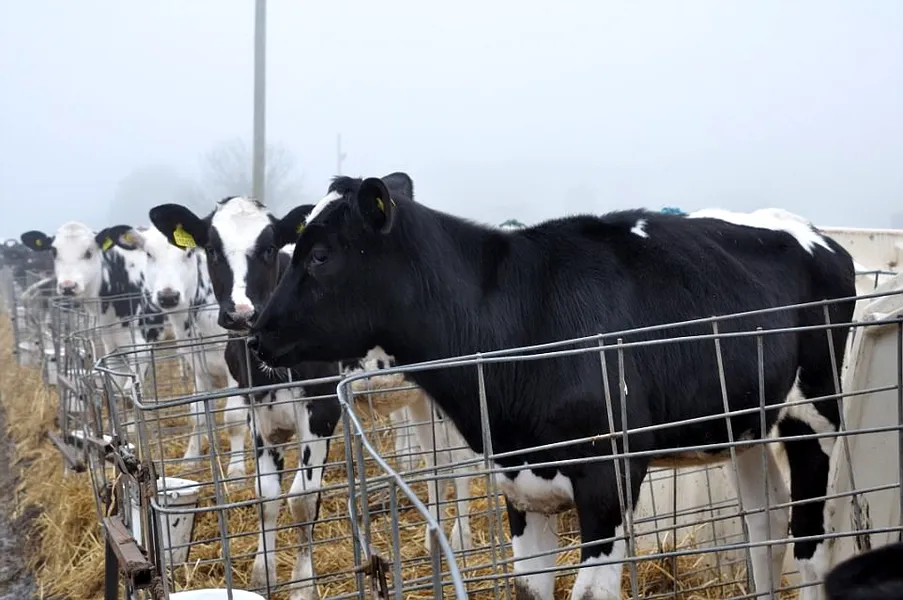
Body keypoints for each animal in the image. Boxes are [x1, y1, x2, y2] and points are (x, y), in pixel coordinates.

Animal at [20, 222, 166, 393]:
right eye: (54, 251)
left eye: (89, 252)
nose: (68, 286)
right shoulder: (112, 345)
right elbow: (116, 388)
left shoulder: (142, 344)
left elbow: (131, 390)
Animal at [110, 225, 249, 477]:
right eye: (148, 254)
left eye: (189, 253)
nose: (168, 296)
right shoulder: (199, 367)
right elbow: (197, 414)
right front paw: (191, 458)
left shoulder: (236, 369)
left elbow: (234, 418)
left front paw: (236, 470)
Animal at [146, 190, 474, 599]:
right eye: (211, 249)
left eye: (269, 247)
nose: (240, 313)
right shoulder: (259, 411)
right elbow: (266, 495)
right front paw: (264, 573)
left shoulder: (321, 408)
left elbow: (302, 499)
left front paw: (303, 584)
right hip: (416, 398)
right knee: (436, 464)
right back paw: (437, 540)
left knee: (461, 461)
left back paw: (461, 541)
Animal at [246, 173, 857, 600]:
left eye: (320, 255)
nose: (256, 333)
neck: (518, 319)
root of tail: (819, 236)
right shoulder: (518, 484)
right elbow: (527, 588)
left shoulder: (608, 479)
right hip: (745, 424)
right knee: (764, 523)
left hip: (814, 412)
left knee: (809, 541)